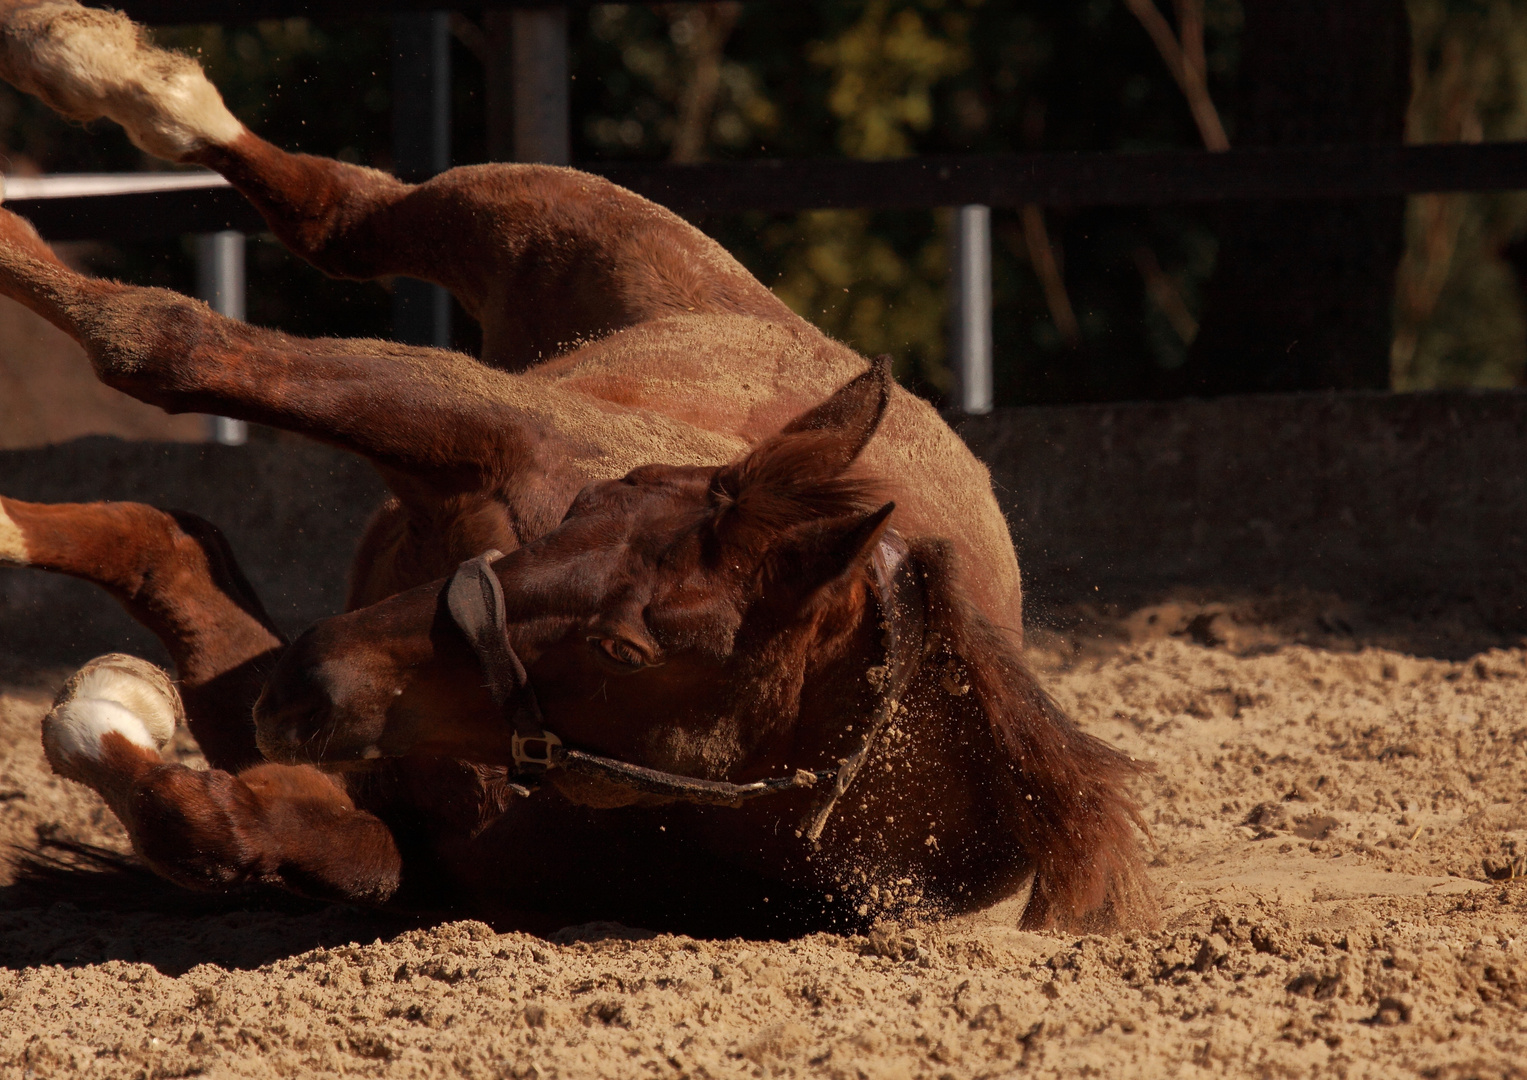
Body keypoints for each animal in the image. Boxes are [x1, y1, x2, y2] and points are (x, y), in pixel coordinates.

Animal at [0, 0, 1148, 934]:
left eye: (624, 653)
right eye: (592, 506)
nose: (314, 672)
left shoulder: (364, 799)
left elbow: (217, 816)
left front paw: (111, 704)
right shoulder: (477, 424)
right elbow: (169, 344)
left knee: (171, 532)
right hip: (532, 221)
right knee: (338, 212)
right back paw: (75, 55)